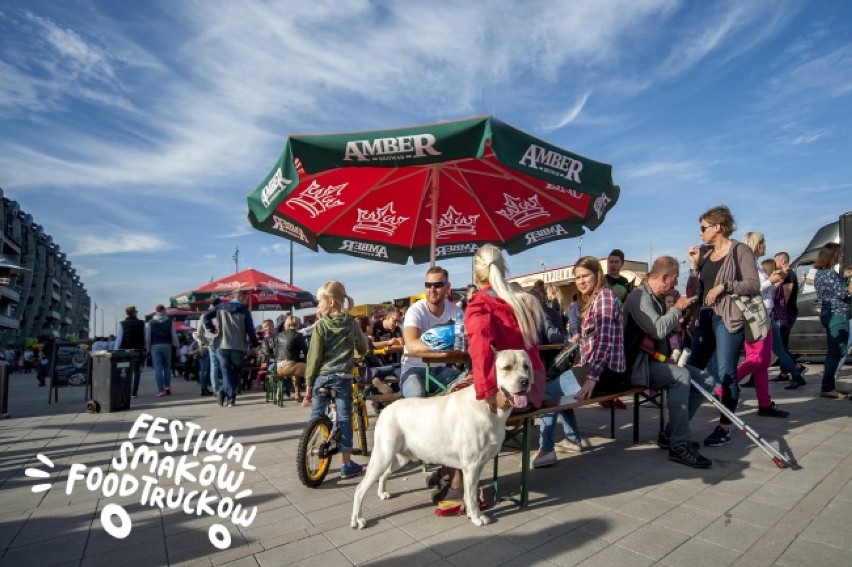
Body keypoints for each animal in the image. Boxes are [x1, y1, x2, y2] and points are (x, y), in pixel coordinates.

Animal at [350, 348, 528, 532]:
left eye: (526, 366)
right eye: (507, 367)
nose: (525, 381)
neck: (488, 406)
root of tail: (386, 409)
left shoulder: (477, 466)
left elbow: (468, 494)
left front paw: (470, 514)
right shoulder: (471, 466)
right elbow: (471, 496)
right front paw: (477, 517)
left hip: (400, 458)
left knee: (384, 474)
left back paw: (382, 493)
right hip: (383, 456)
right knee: (360, 488)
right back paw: (357, 520)